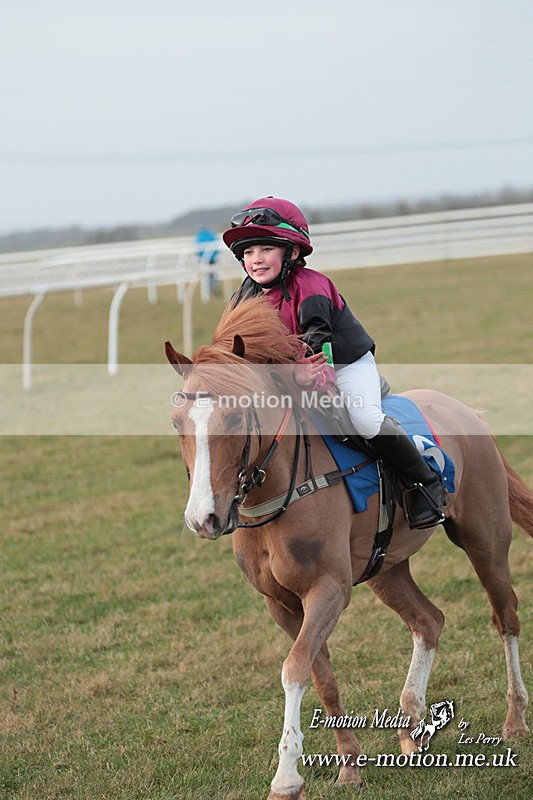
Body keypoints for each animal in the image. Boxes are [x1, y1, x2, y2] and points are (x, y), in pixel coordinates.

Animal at [165, 295, 531, 800]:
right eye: (177, 421)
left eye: (237, 416)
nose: (204, 518)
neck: (281, 490)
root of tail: (466, 411)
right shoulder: (281, 604)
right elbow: (321, 676)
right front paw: (349, 765)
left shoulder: (330, 590)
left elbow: (295, 668)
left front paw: (287, 777)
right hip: (386, 568)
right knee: (429, 620)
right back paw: (411, 726)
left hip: (485, 538)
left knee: (505, 615)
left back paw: (514, 720)